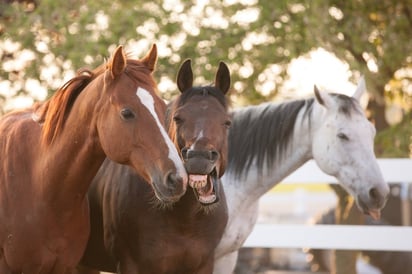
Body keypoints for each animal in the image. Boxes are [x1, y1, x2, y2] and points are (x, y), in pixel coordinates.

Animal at [77, 58, 232, 272]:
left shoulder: (204, 265)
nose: (199, 158)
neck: (185, 220)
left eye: (227, 122)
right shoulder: (132, 264)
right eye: (177, 118)